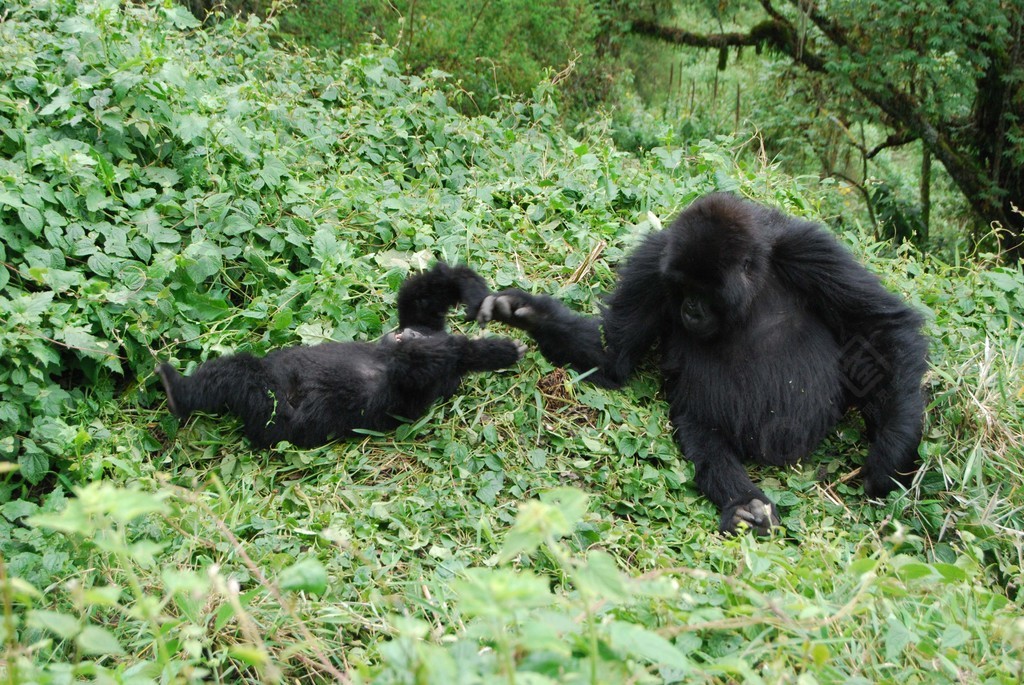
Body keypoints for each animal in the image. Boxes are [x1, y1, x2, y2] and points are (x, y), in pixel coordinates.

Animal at [161, 264, 528, 448]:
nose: (406, 337)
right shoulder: (418, 332)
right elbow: (419, 299)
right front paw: (473, 292)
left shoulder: (418, 384)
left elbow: (425, 363)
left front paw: (491, 351)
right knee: (237, 370)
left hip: (270, 413)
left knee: (241, 379)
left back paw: (179, 393)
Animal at [479, 192, 929, 532]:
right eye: (681, 288)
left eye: (705, 292)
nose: (691, 310)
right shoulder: (654, 263)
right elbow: (613, 356)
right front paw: (528, 314)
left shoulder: (810, 249)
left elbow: (880, 325)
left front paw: (892, 453)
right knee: (703, 434)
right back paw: (744, 504)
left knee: (869, 362)